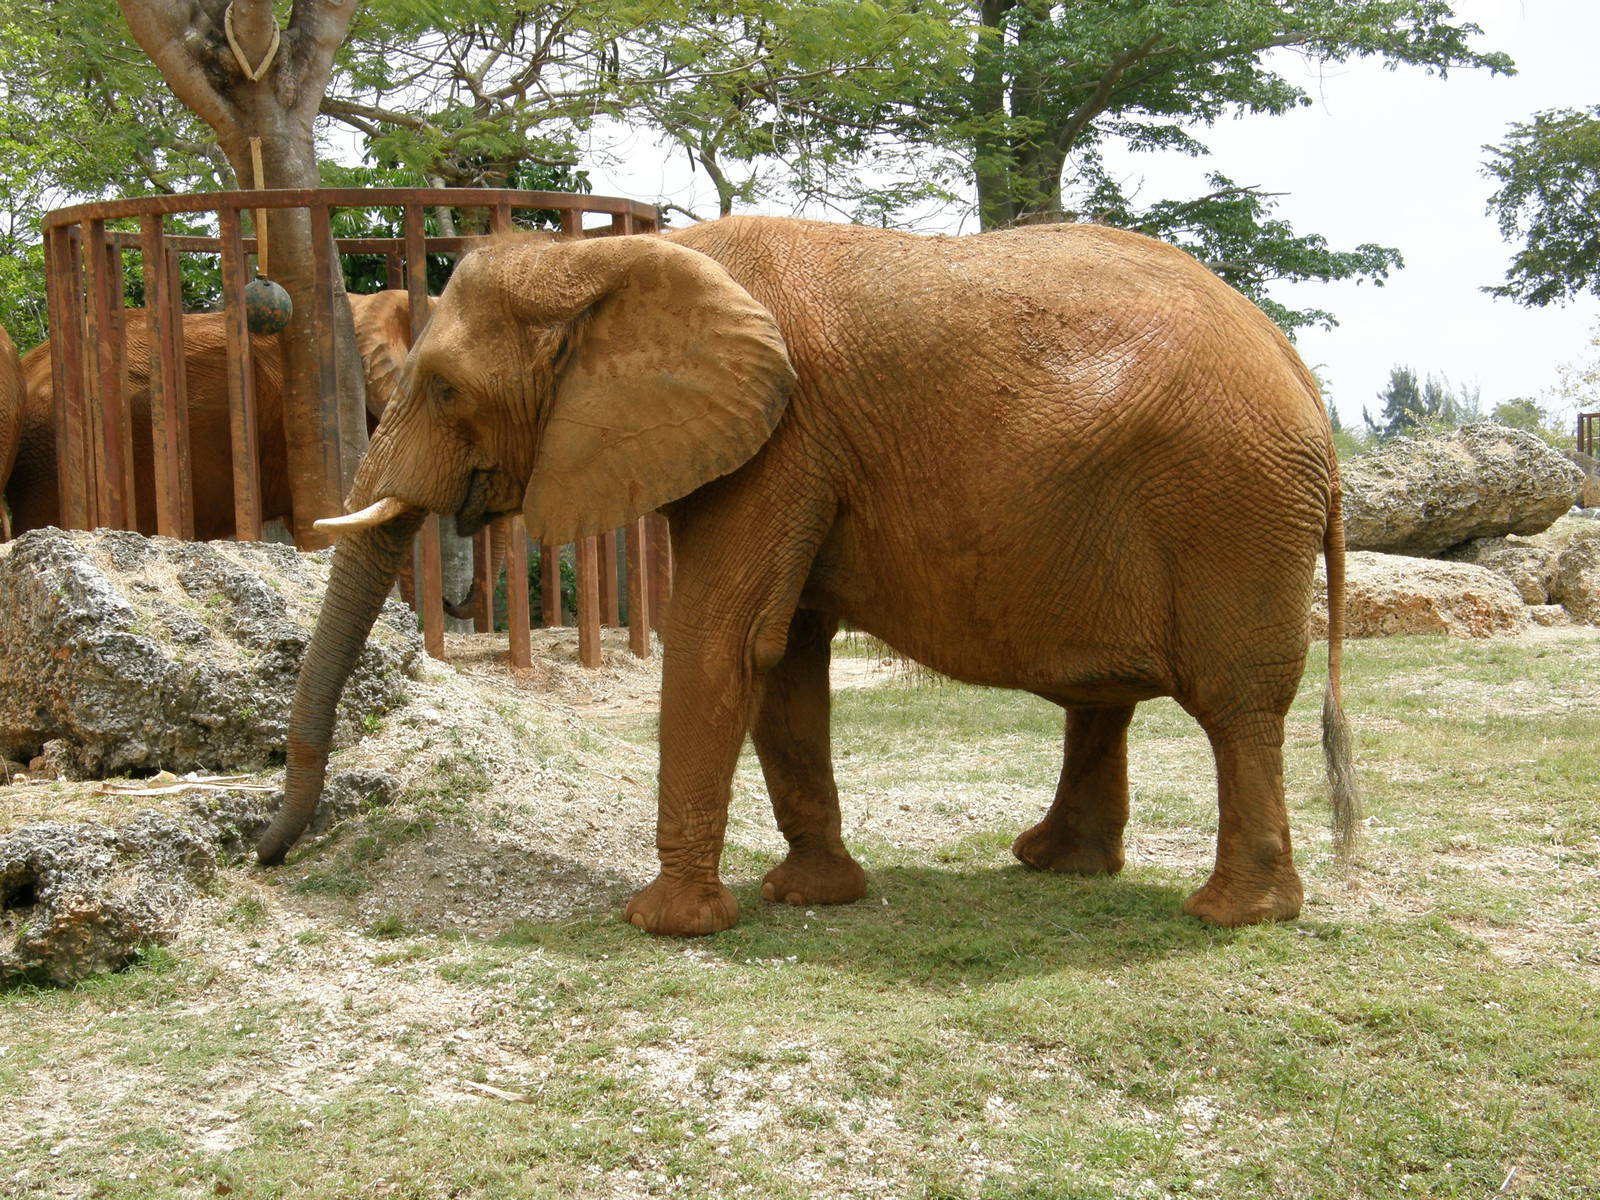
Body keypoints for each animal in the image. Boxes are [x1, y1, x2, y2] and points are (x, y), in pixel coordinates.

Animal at [258, 215, 1358, 936]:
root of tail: (1307, 384)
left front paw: (663, 925)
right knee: (1110, 700)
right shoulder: (789, 447)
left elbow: (722, 637)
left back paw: (1233, 916)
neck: (609, 258)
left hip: (1229, 507)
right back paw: (1056, 866)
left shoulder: (782, 440)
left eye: (445, 391)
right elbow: (783, 656)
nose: (265, 855)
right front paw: (810, 898)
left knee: (1237, 702)